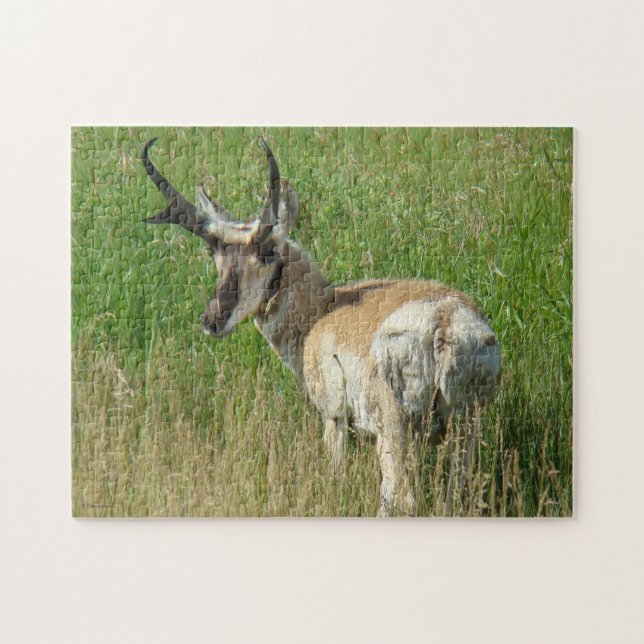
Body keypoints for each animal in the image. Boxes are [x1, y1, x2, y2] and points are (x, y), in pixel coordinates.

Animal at [142, 137, 501, 516]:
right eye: (215, 254)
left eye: (268, 251)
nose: (212, 319)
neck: (324, 309)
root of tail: (442, 322)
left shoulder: (334, 417)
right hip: (465, 425)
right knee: (458, 492)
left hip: (396, 427)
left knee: (399, 494)